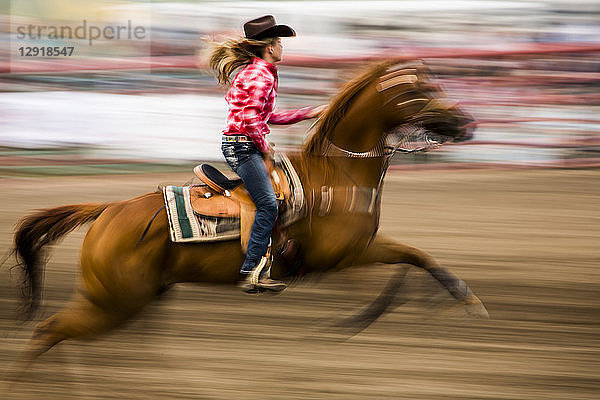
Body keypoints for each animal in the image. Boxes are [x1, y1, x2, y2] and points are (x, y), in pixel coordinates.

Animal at [10, 60, 488, 372]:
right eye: (418, 91)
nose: (466, 124)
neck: (339, 174)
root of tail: (109, 211)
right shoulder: (340, 257)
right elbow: (402, 268)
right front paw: (357, 321)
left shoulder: (363, 247)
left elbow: (417, 258)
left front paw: (465, 300)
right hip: (113, 301)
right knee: (48, 331)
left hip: (134, 298)